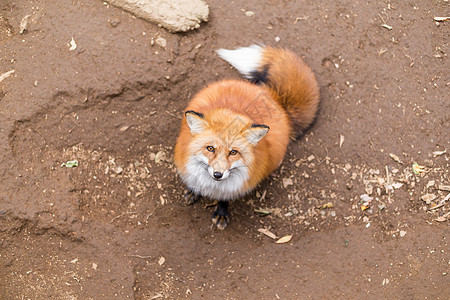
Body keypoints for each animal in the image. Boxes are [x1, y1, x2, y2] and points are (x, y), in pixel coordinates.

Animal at [173, 44, 320, 229]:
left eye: (233, 152)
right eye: (210, 148)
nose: (218, 174)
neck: (212, 185)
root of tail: (269, 95)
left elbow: (224, 199)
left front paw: (221, 211)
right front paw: (193, 190)